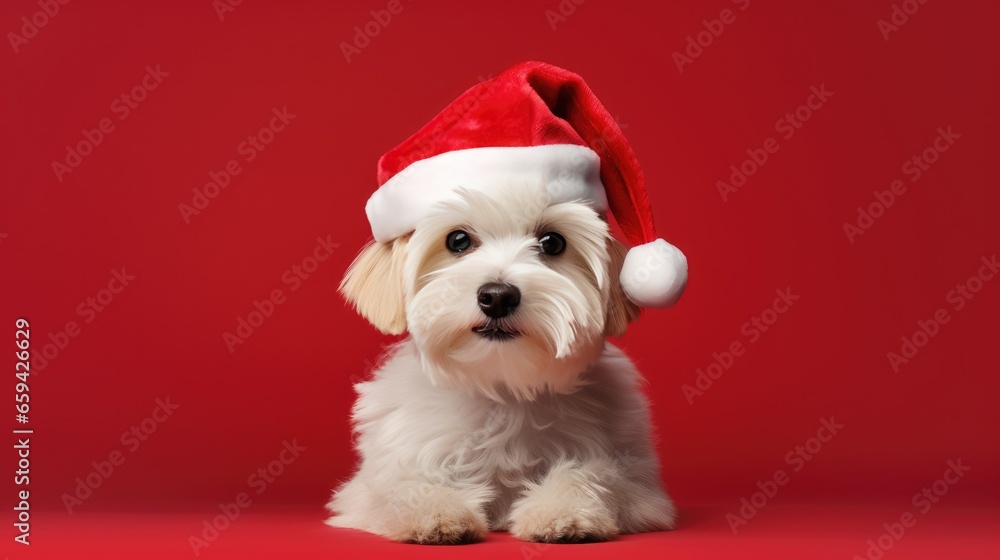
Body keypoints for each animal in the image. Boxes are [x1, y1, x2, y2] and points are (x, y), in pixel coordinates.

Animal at [328, 183, 680, 544]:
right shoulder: (373, 483)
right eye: (458, 240)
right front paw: (435, 512)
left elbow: (593, 474)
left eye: (552, 242)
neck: (503, 385)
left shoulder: (635, 483)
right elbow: (401, 484)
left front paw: (563, 510)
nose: (497, 296)